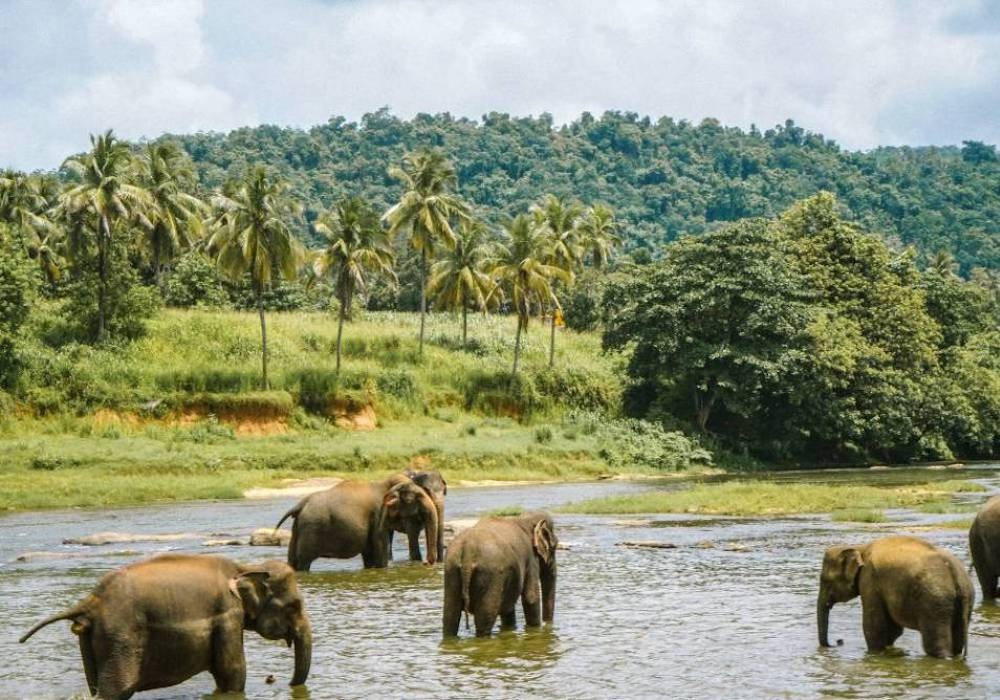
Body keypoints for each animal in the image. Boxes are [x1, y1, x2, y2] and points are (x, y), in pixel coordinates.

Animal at [19, 554, 311, 700]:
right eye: (294, 606)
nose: (283, 683)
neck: (245, 567)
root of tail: (91, 601)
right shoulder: (227, 614)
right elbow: (232, 674)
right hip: (121, 636)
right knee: (116, 690)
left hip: (91, 639)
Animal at [276, 473, 439, 571]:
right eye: (418, 496)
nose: (426, 563)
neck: (386, 485)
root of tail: (300, 505)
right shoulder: (378, 517)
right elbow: (379, 555)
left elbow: (369, 557)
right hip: (310, 530)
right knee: (303, 562)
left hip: (298, 528)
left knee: (293, 561)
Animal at [817, 535, 973, 658]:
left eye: (825, 580)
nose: (838, 641)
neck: (859, 548)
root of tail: (955, 573)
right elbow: (893, 629)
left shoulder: (869, 580)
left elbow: (874, 626)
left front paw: (874, 654)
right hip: (964, 600)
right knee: (958, 643)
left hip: (935, 602)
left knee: (935, 645)